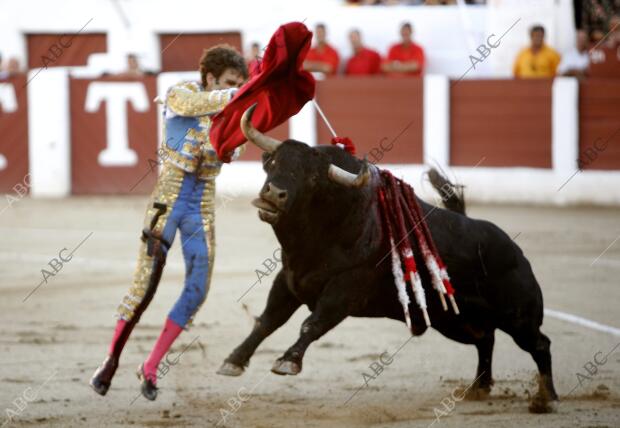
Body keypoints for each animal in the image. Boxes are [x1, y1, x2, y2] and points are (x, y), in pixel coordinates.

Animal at [217, 105, 556, 410]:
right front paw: (233, 361)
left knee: (539, 344)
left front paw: (288, 361)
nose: (274, 194)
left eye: (313, 179)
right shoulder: (289, 280)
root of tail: (514, 251)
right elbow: (266, 321)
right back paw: (478, 388)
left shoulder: (345, 290)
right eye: (273, 162)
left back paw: (545, 398)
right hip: (456, 321)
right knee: (486, 340)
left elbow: (312, 324)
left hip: (517, 316)